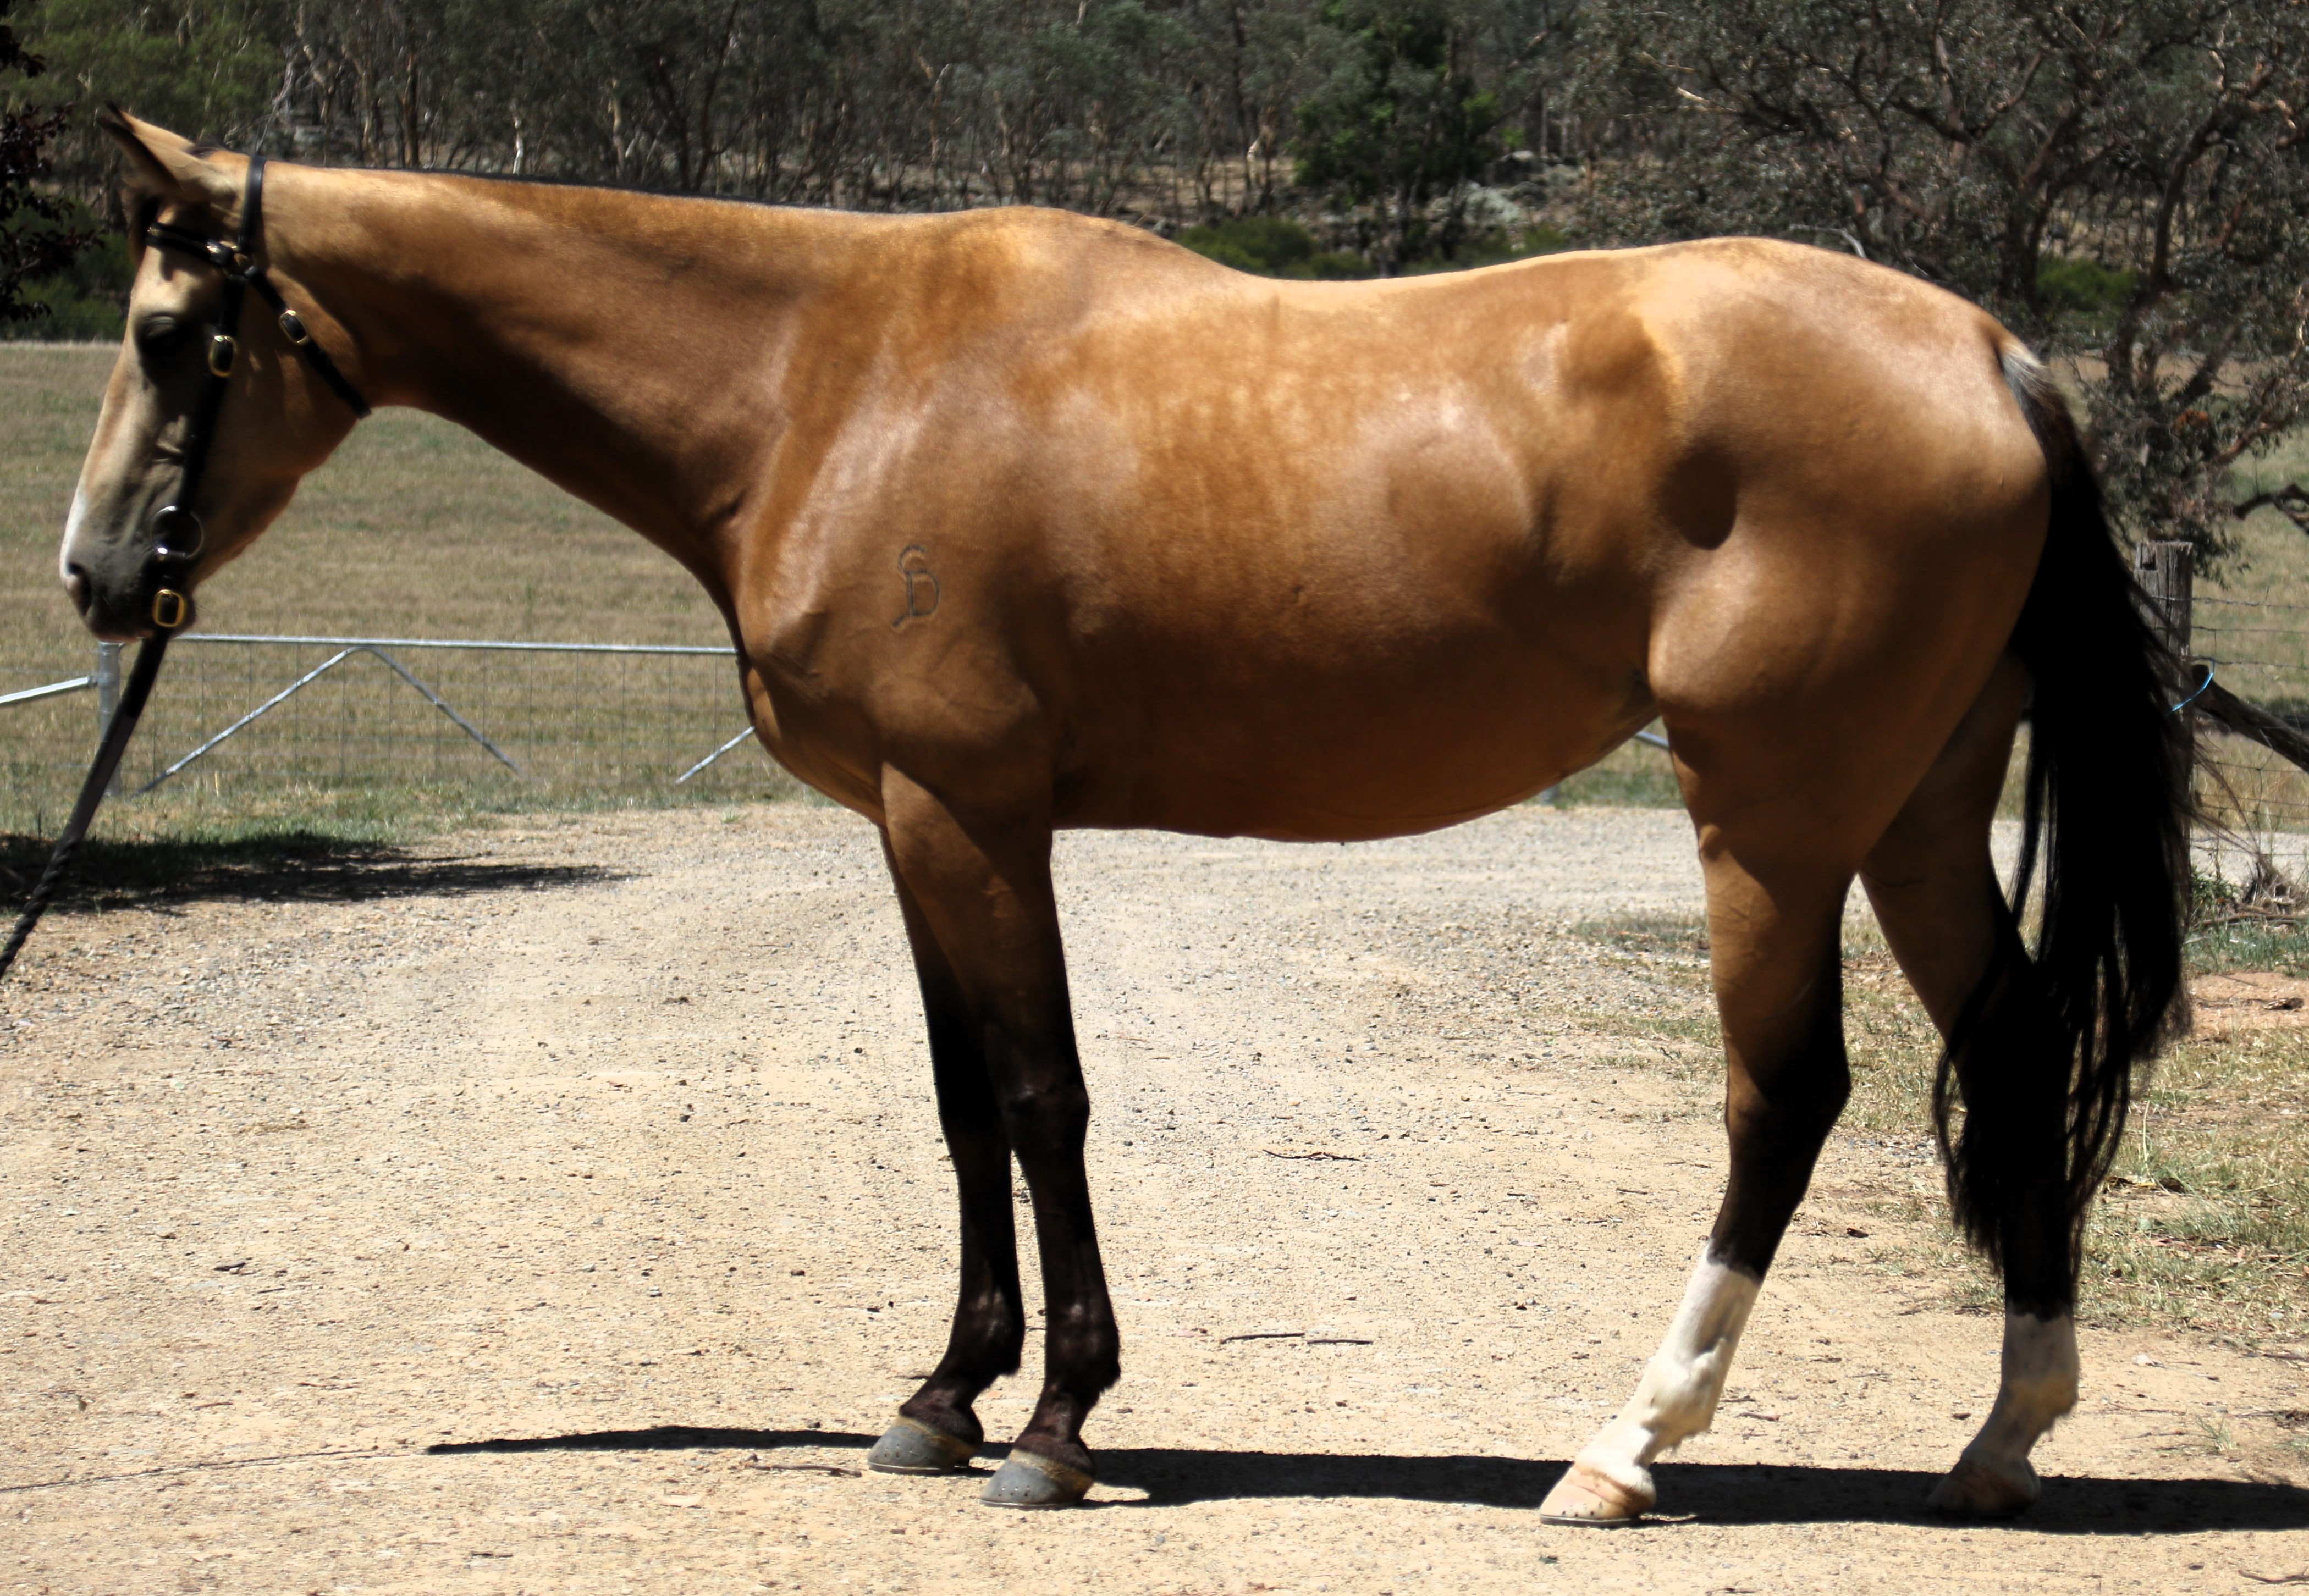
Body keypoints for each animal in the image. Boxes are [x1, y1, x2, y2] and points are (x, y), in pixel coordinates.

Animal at [59, 113, 2187, 1520]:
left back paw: (1625, 1444)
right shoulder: (912, 822)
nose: (89, 576)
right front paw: (942, 1393)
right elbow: (956, 1104)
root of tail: (1993, 351)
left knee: (1786, 1090)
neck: (822, 376)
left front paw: (1058, 1422)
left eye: (172, 334)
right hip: (1913, 812)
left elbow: (1037, 1094)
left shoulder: (971, 812)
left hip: (1770, 818)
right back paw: (2003, 1431)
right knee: (2011, 1047)